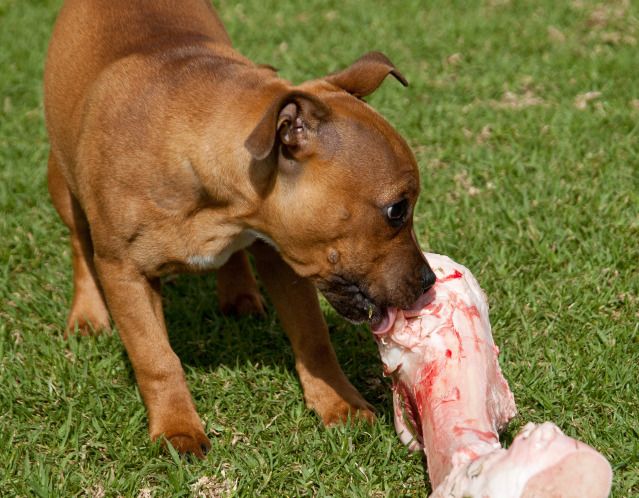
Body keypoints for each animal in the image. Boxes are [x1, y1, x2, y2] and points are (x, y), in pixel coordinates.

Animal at [43, 0, 436, 458]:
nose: (429, 281)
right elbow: (156, 358)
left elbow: (313, 337)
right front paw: (177, 429)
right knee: (78, 241)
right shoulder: (124, 273)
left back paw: (239, 293)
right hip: (62, 183)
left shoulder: (281, 257)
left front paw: (337, 402)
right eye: (397, 210)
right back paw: (87, 314)